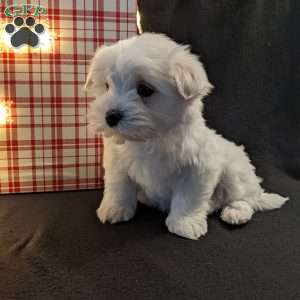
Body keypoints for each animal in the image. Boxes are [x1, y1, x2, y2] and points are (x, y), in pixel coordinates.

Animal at [86, 32, 288, 239]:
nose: (110, 116)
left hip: (236, 172)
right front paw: (114, 209)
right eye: (107, 86)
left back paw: (236, 212)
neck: (151, 139)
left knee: (246, 199)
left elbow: (188, 197)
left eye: (145, 90)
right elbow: (118, 186)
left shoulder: (197, 168)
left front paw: (185, 223)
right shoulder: (117, 162)